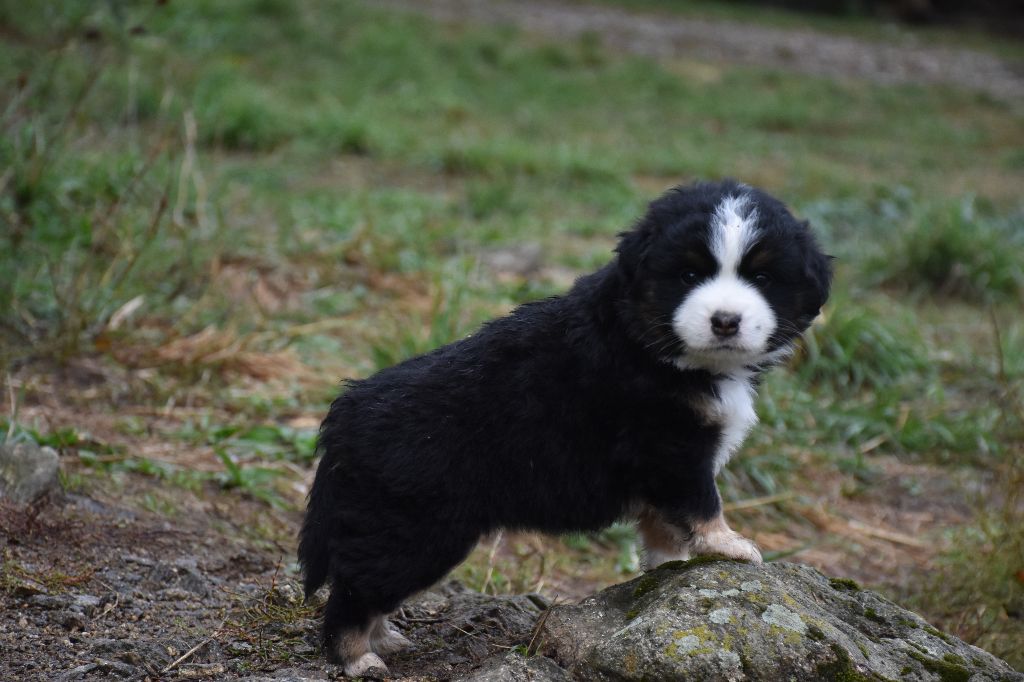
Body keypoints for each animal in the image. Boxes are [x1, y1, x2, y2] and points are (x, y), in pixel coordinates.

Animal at [299, 180, 832, 676]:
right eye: (689, 274)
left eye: (761, 276)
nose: (725, 321)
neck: (653, 345)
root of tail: (346, 413)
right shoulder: (670, 449)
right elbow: (703, 504)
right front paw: (730, 545)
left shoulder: (665, 464)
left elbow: (664, 528)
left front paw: (673, 565)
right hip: (415, 531)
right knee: (354, 592)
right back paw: (357, 658)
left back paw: (384, 638)